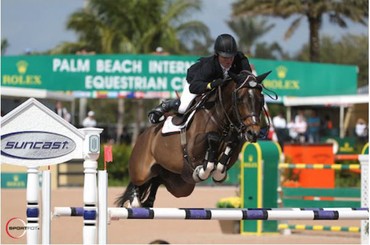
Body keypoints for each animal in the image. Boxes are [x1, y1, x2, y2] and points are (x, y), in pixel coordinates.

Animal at [117, 70, 274, 208]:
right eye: (240, 99)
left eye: (261, 100)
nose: (253, 133)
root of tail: (143, 134)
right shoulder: (193, 149)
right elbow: (211, 142)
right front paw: (202, 171)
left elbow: (225, 155)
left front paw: (216, 173)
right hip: (142, 170)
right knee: (137, 181)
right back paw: (134, 201)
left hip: (180, 185)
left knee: (157, 179)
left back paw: (148, 202)